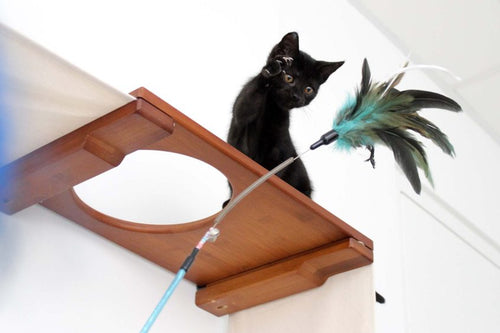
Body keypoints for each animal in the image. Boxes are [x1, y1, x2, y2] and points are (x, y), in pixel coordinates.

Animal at [227, 32, 344, 196]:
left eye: (308, 89)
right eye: (289, 78)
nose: (296, 96)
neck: (271, 108)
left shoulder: (281, 154)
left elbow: (274, 174)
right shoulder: (241, 114)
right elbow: (247, 103)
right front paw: (271, 69)